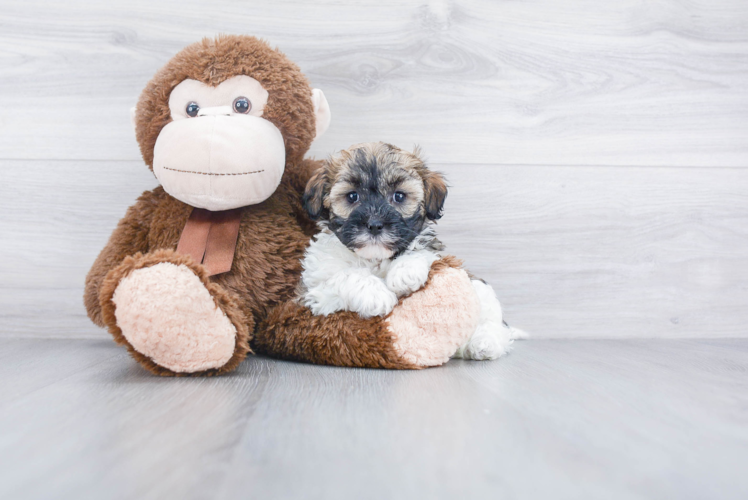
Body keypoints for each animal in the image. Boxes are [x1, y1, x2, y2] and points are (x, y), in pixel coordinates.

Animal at [300, 143, 524, 362]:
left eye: (399, 196)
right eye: (352, 196)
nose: (375, 224)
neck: (375, 258)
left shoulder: (432, 251)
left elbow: (421, 251)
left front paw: (404, 273)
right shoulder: (311, 291)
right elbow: (345, 275)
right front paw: (376, 294)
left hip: (480, 292)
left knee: (495, 325)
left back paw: (483, 343)